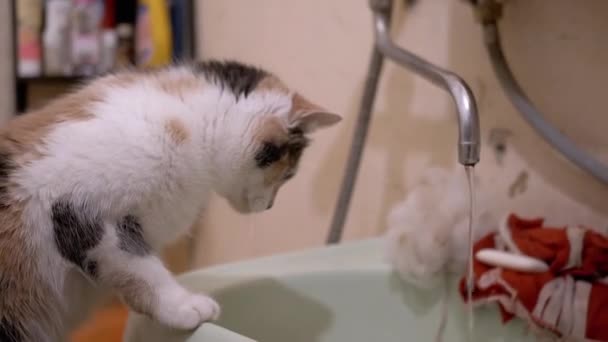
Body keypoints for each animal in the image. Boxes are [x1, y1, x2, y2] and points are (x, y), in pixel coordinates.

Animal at [0, 60, 340, 340]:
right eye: (288, 175)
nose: (269, 206)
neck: (188, 115)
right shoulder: (75, 206)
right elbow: (141, 267)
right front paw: (184, 305)